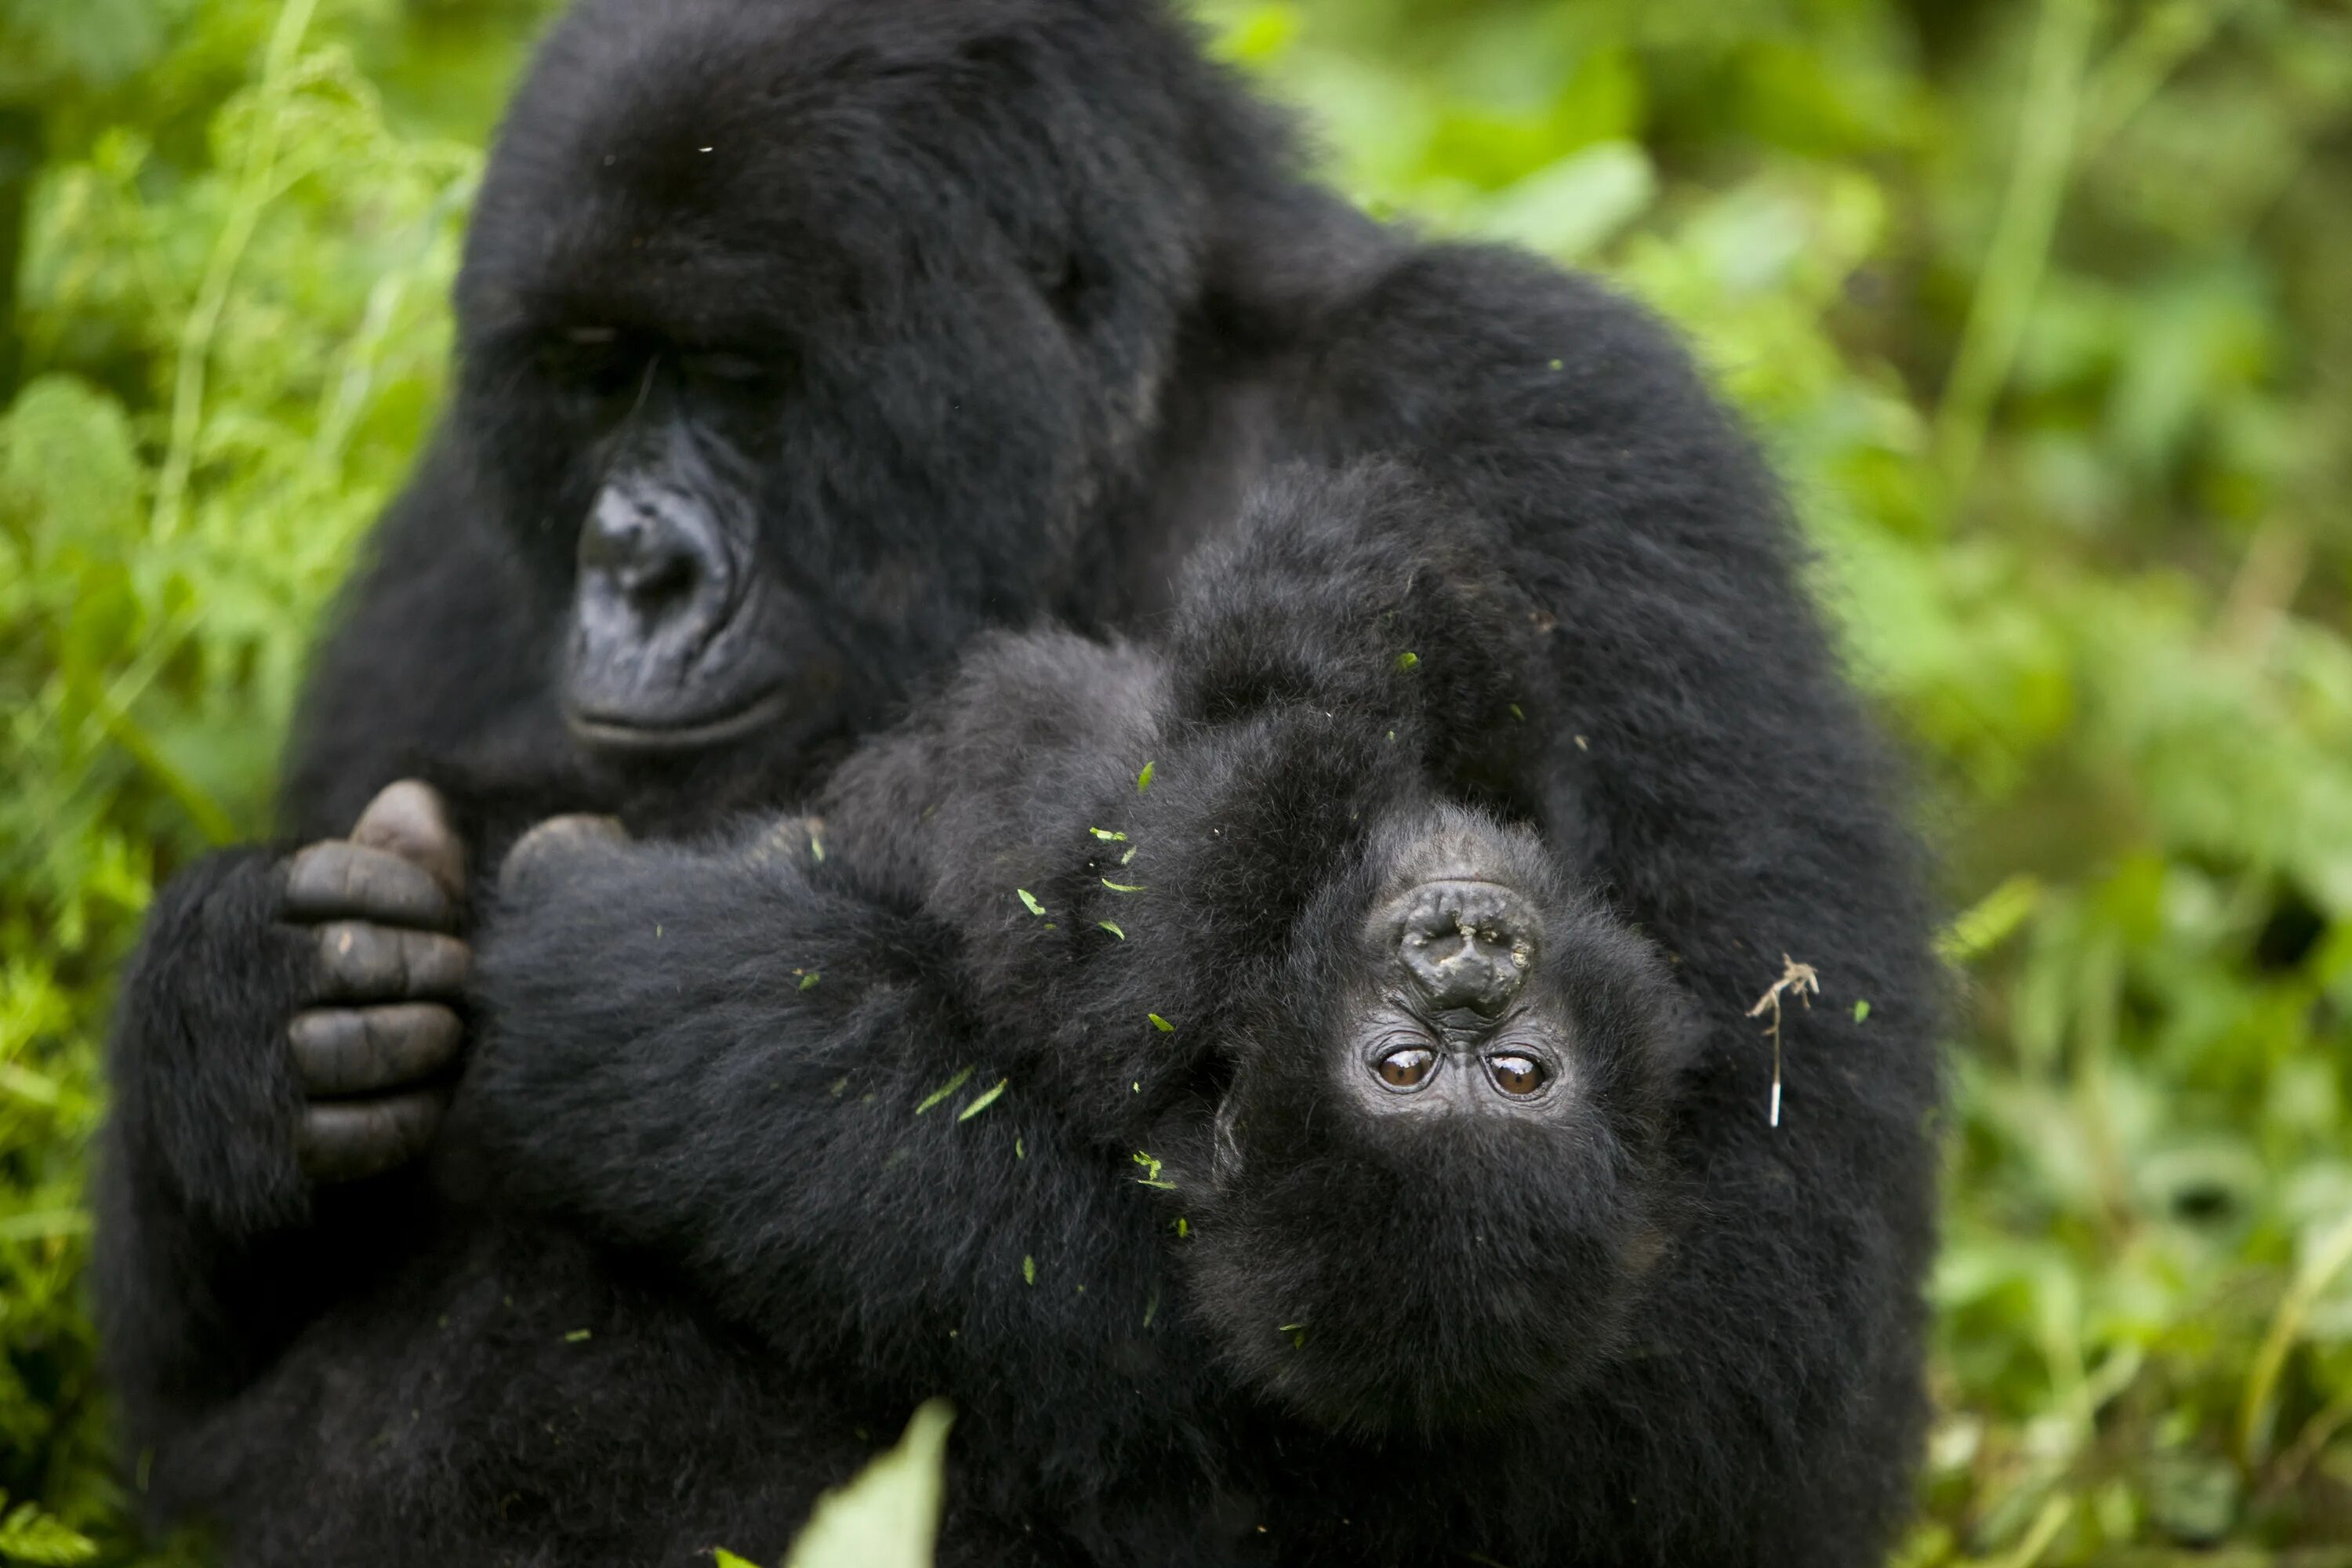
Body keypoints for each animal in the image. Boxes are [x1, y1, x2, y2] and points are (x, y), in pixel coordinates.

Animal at [101, 2, 1938, 1568]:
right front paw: (248, 1010)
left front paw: (672, 1007)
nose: (632, 572)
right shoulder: (449, 541)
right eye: (598, 374)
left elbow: (1734, 1342)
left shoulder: (1565, 417)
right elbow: (194, 1404)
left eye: (743, 387)